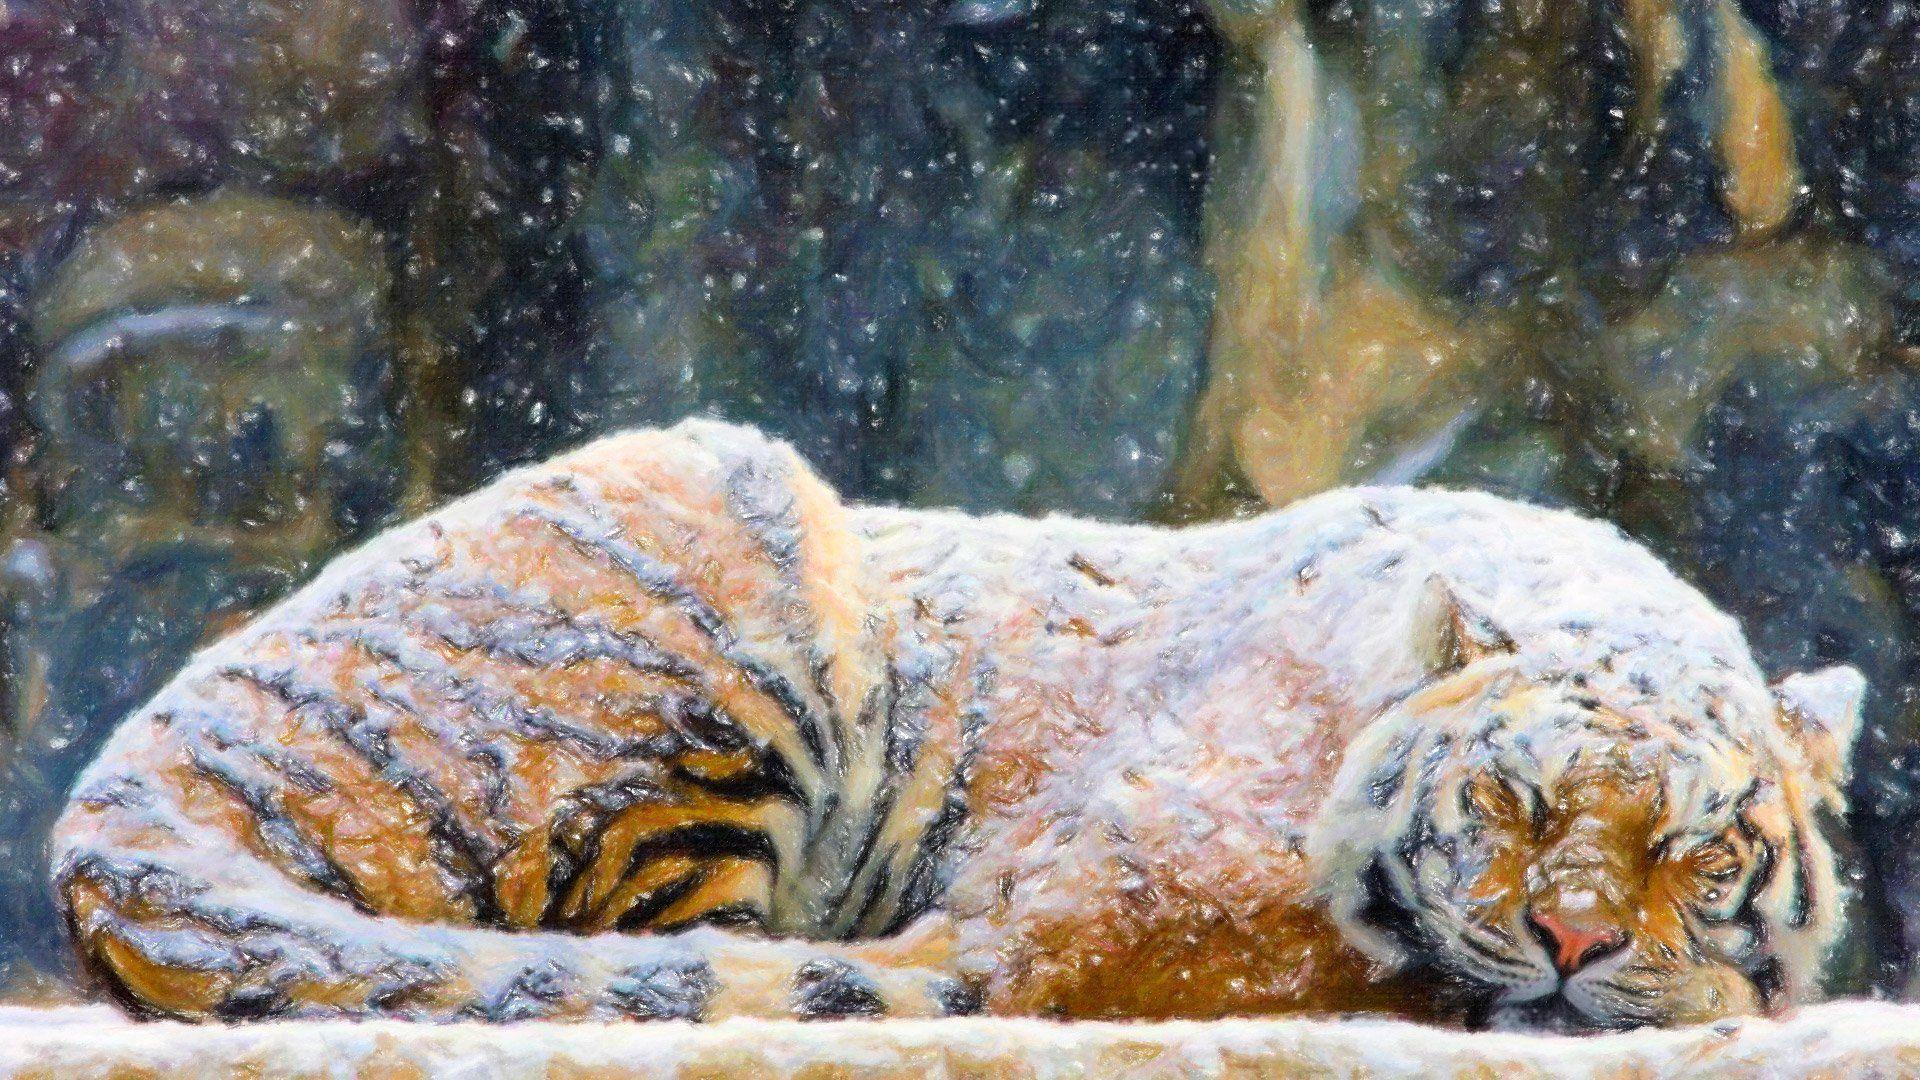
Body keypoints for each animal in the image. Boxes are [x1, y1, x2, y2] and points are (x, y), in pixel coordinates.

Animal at [49, 419, 1865, 1031]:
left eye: (1693, 845)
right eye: (1509, 805)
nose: (1570, 941)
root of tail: (121, 780)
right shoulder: (1084, 892)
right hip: (736, 539)